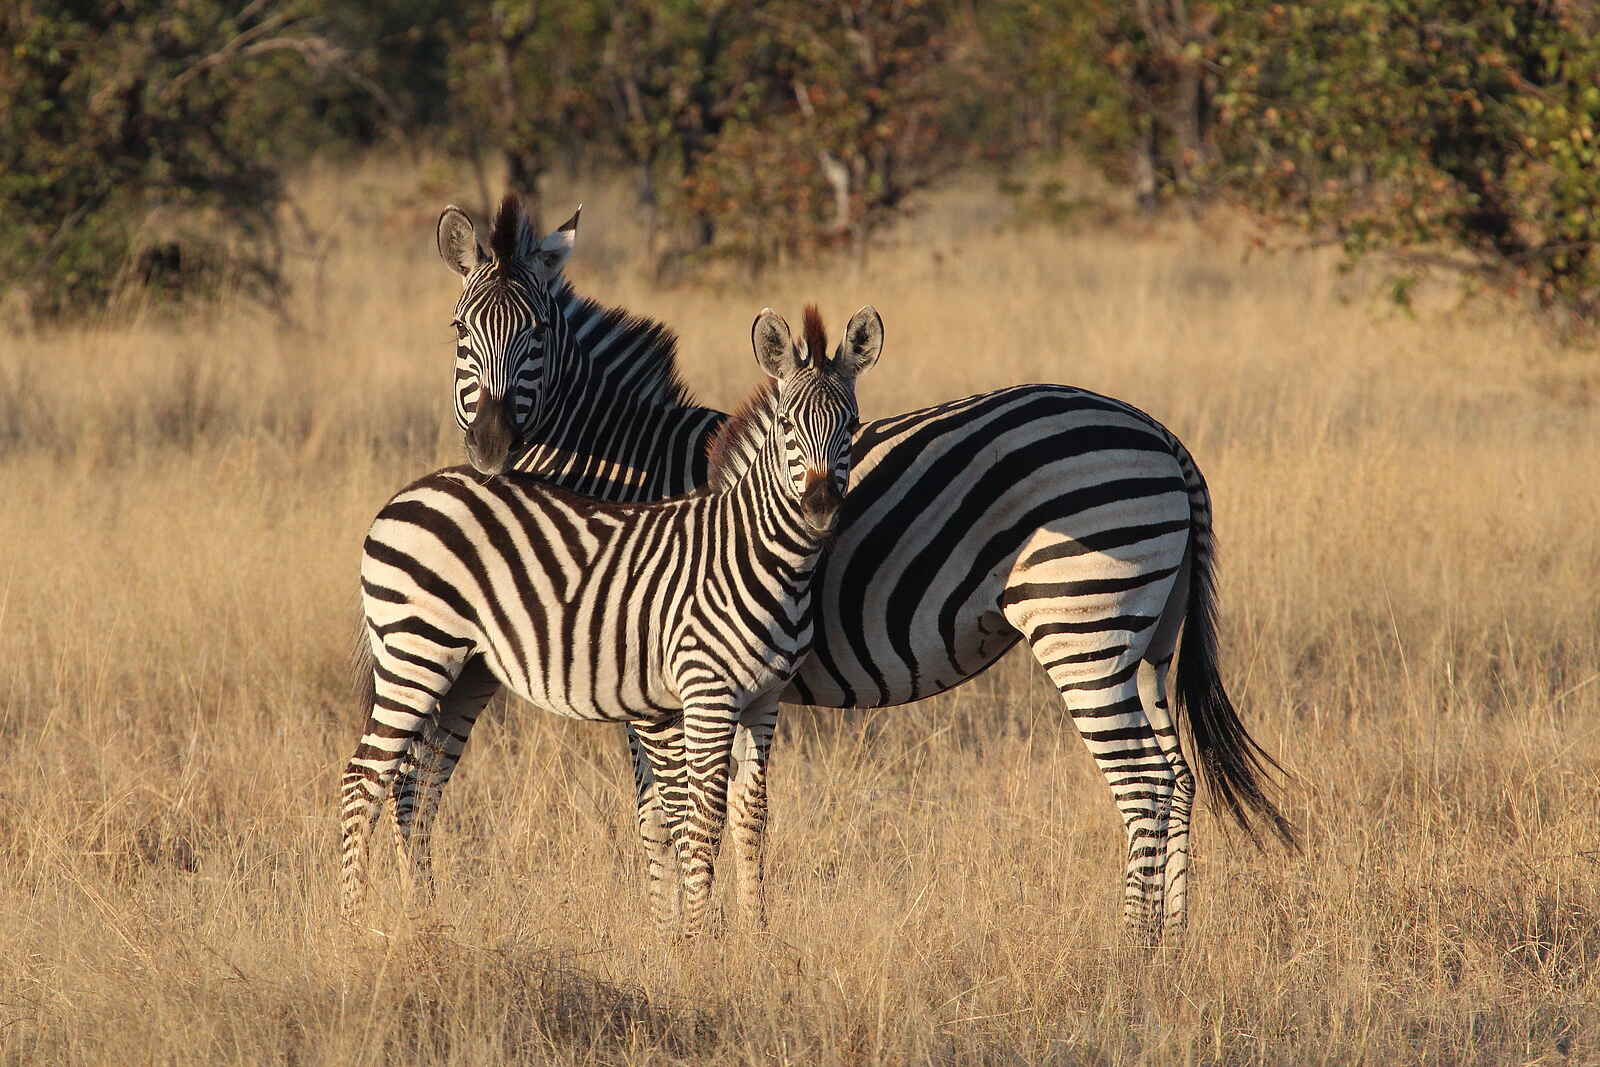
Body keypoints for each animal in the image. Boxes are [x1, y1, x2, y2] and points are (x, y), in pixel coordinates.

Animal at [340, 300, 883, 937]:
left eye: (851, 427)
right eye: (786, 428)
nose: (821, 510)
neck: (759, 555)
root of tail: (410, 492)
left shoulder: (764, 698)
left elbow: (751, 816)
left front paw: (758, 938)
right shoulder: (705, 693)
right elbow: (701, 818)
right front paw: (699, 942)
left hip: (464, 668)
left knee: (415, 787)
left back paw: (426, 922)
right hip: (415, 651)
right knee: (363, 780)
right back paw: (349, 928)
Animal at [409, 195, 1295, 942]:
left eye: (537, 334)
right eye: (457, 331)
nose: (489, 446)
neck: (633, 470)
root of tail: (1162, 436)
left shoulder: (660, 683)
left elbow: (665, 813)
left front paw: (676, 937)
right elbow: (702, 811)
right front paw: (728, 934)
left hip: (1083, 621)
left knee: (1143, 783)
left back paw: (1130, 951)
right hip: (1146, 636)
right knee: (1178, 777)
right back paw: (1174, 945)